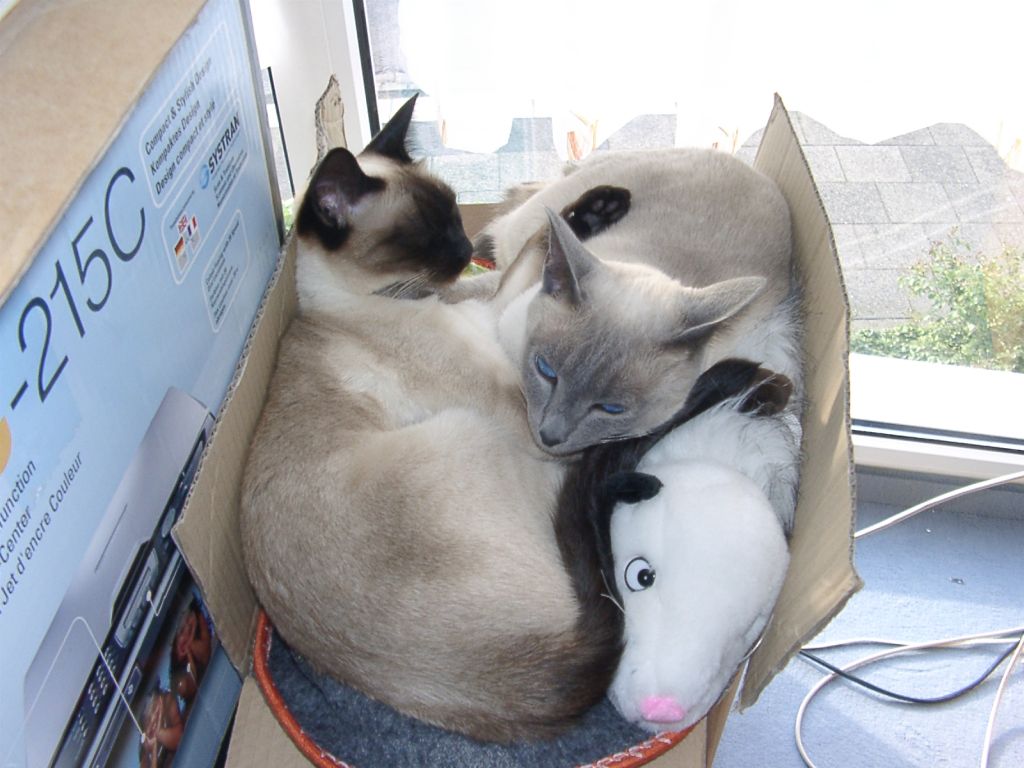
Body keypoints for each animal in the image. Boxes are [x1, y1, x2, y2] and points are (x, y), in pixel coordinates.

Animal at [240, 95, 620, 743]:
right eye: (423, 233)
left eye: (453, 215)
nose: (466, 251)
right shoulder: (519, 402)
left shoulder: (485, 302)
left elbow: (536, 250)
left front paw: (595, 209)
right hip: (471, 432)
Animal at [482, 148, 799, 456]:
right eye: (546, 371)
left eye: (611, 409)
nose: (549, 437)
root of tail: (754, 171)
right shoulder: (502, 306)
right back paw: (604, 205)